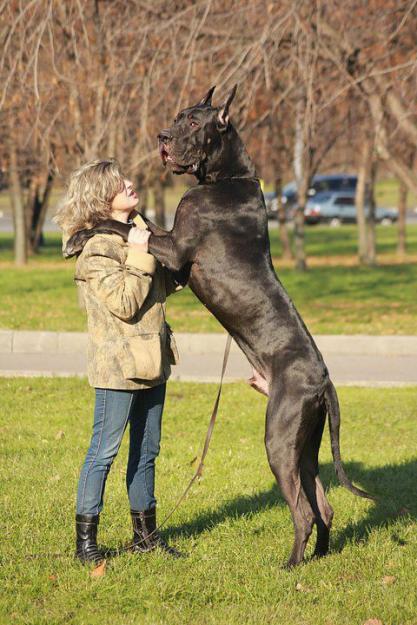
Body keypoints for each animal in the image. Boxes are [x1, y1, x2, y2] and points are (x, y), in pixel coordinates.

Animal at [66, 85, 372, 568]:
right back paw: (319, 556)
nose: (163, 136)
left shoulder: (175, 248)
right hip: (305, 444)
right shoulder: (169, 242)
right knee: (322, 503)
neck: (226, 178)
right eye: (178, 115)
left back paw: (290, 565)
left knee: (304, 510)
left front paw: (80, 234)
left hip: (279, 436)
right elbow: (135, 221)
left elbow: (119, 223)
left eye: (195, 123)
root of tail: (324, 380)